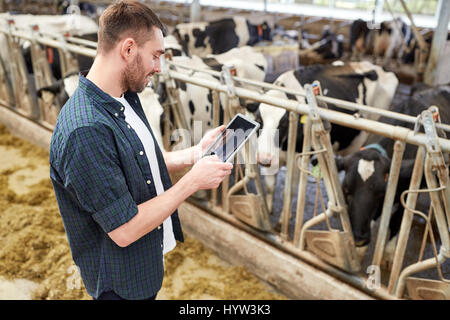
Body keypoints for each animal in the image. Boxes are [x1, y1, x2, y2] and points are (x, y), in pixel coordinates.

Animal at [255, 61, 400, 214]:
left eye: (284, 124)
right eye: (259, 120)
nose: (264, 159)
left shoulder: (296, 160)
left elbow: (289, 192)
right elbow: (270, 186)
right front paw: (268, 211)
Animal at [338, 85, 450, 268]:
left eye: (380, 193)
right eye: (346, 191)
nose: (359, 238)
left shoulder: (406, 195)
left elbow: (396, 222)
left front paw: (388, 257)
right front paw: (359, 254)